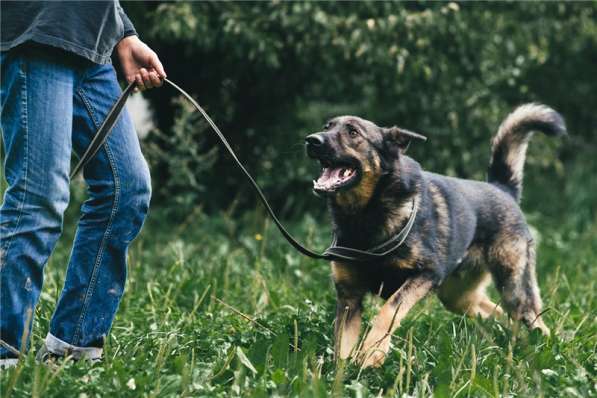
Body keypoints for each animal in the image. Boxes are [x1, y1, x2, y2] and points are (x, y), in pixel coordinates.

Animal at [304, 102, 564, 366]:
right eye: (327, 127)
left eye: (353, 132)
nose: (311, 140)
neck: (364, 215)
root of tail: (502, 188)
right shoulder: (349, 300)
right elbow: (341, 351)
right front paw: (348, 371)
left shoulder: (425, 274)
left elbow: (388, 311)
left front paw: (371, 353)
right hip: (457, 296)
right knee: (495, 313)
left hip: (514, 289)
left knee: (533, 321)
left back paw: (550, 351)